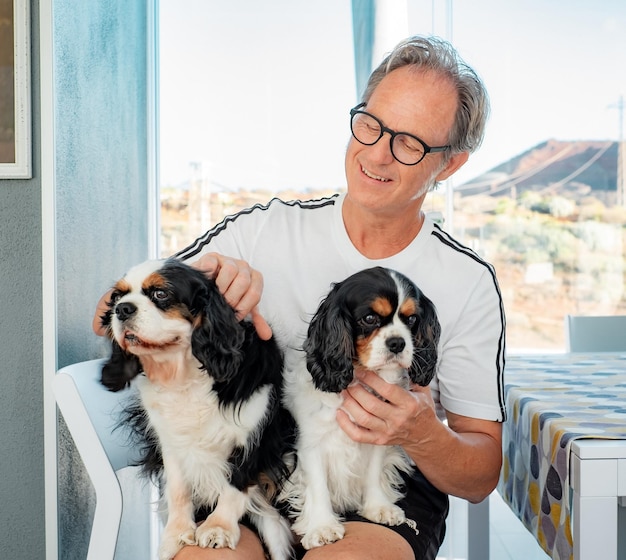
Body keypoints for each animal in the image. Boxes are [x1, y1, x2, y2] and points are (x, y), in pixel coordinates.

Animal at [98, 258, 294, 560]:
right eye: (118, 296)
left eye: (161, 294)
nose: (122, 309)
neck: (183, 373)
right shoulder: (171, 443)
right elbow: (178, 490)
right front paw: (177, 533)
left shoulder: (252, 436)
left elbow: (235, 484)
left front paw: (218, 528)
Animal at [280, 268, 436, 552]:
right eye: (370, 318)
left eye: (412, 319)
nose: (398, 343)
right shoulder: (310, 444)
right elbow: (317, 484)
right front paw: (322, 526)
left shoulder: (379, 435)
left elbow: (373, 473)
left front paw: (378, 507)